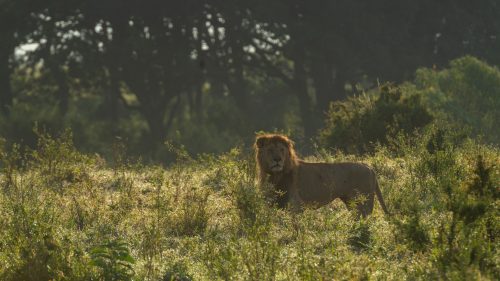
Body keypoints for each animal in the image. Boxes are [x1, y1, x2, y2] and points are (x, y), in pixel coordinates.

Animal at [254, 133, 390, 217]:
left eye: (282, 150)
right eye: (270, 150)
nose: (277, 159)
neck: (275, 175)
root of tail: (370, 167)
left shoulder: (296, 206)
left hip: (364, 202)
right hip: (351, 202)